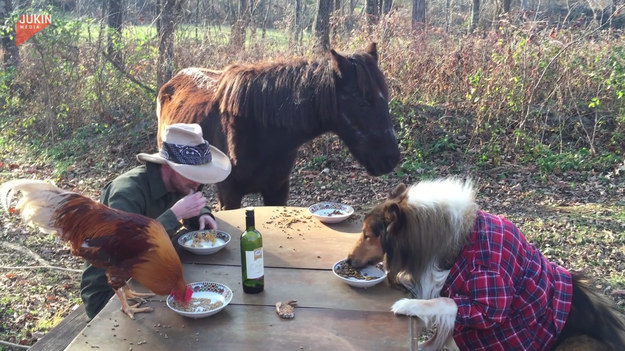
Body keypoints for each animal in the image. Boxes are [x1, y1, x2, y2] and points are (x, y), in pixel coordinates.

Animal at [156, 43, 400, 209]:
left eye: (386, 97)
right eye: (363, 102)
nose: (391, 158)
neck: (262, 134)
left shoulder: (277, 191)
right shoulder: (229, 194)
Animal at [346, 179, 624, 351]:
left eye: (367, 235)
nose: (347, 260)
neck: (461, 240)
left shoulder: (490, 302)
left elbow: (444, 301)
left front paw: (407, 305)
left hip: (579, 342)